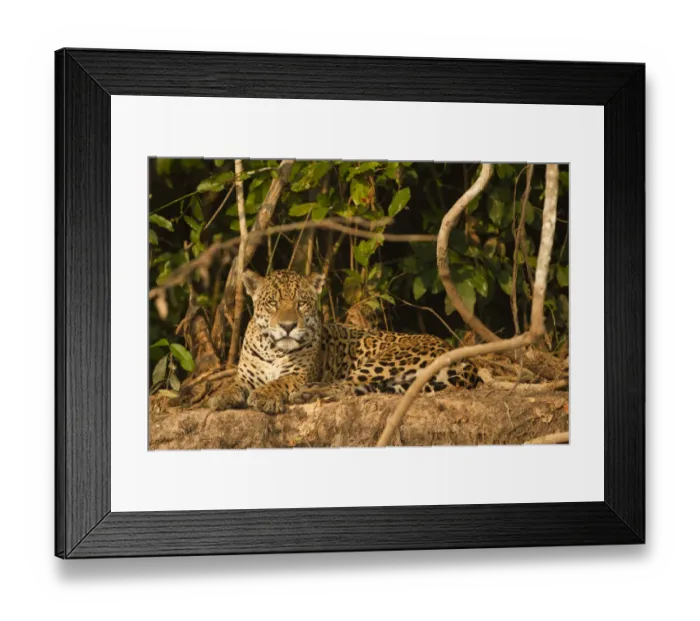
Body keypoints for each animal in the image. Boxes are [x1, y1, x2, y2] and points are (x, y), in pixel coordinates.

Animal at [208, 269, 481, 415]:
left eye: (301, 303)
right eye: (273, 303)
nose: (288, 326)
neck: (273, 349)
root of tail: (458, 353)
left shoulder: (299, 374)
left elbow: (279, 382)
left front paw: (264, 396)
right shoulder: (245, 375)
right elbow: (233, 385)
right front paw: (221, 396)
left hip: (386, 360)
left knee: (345, 386)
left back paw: (307, 393)